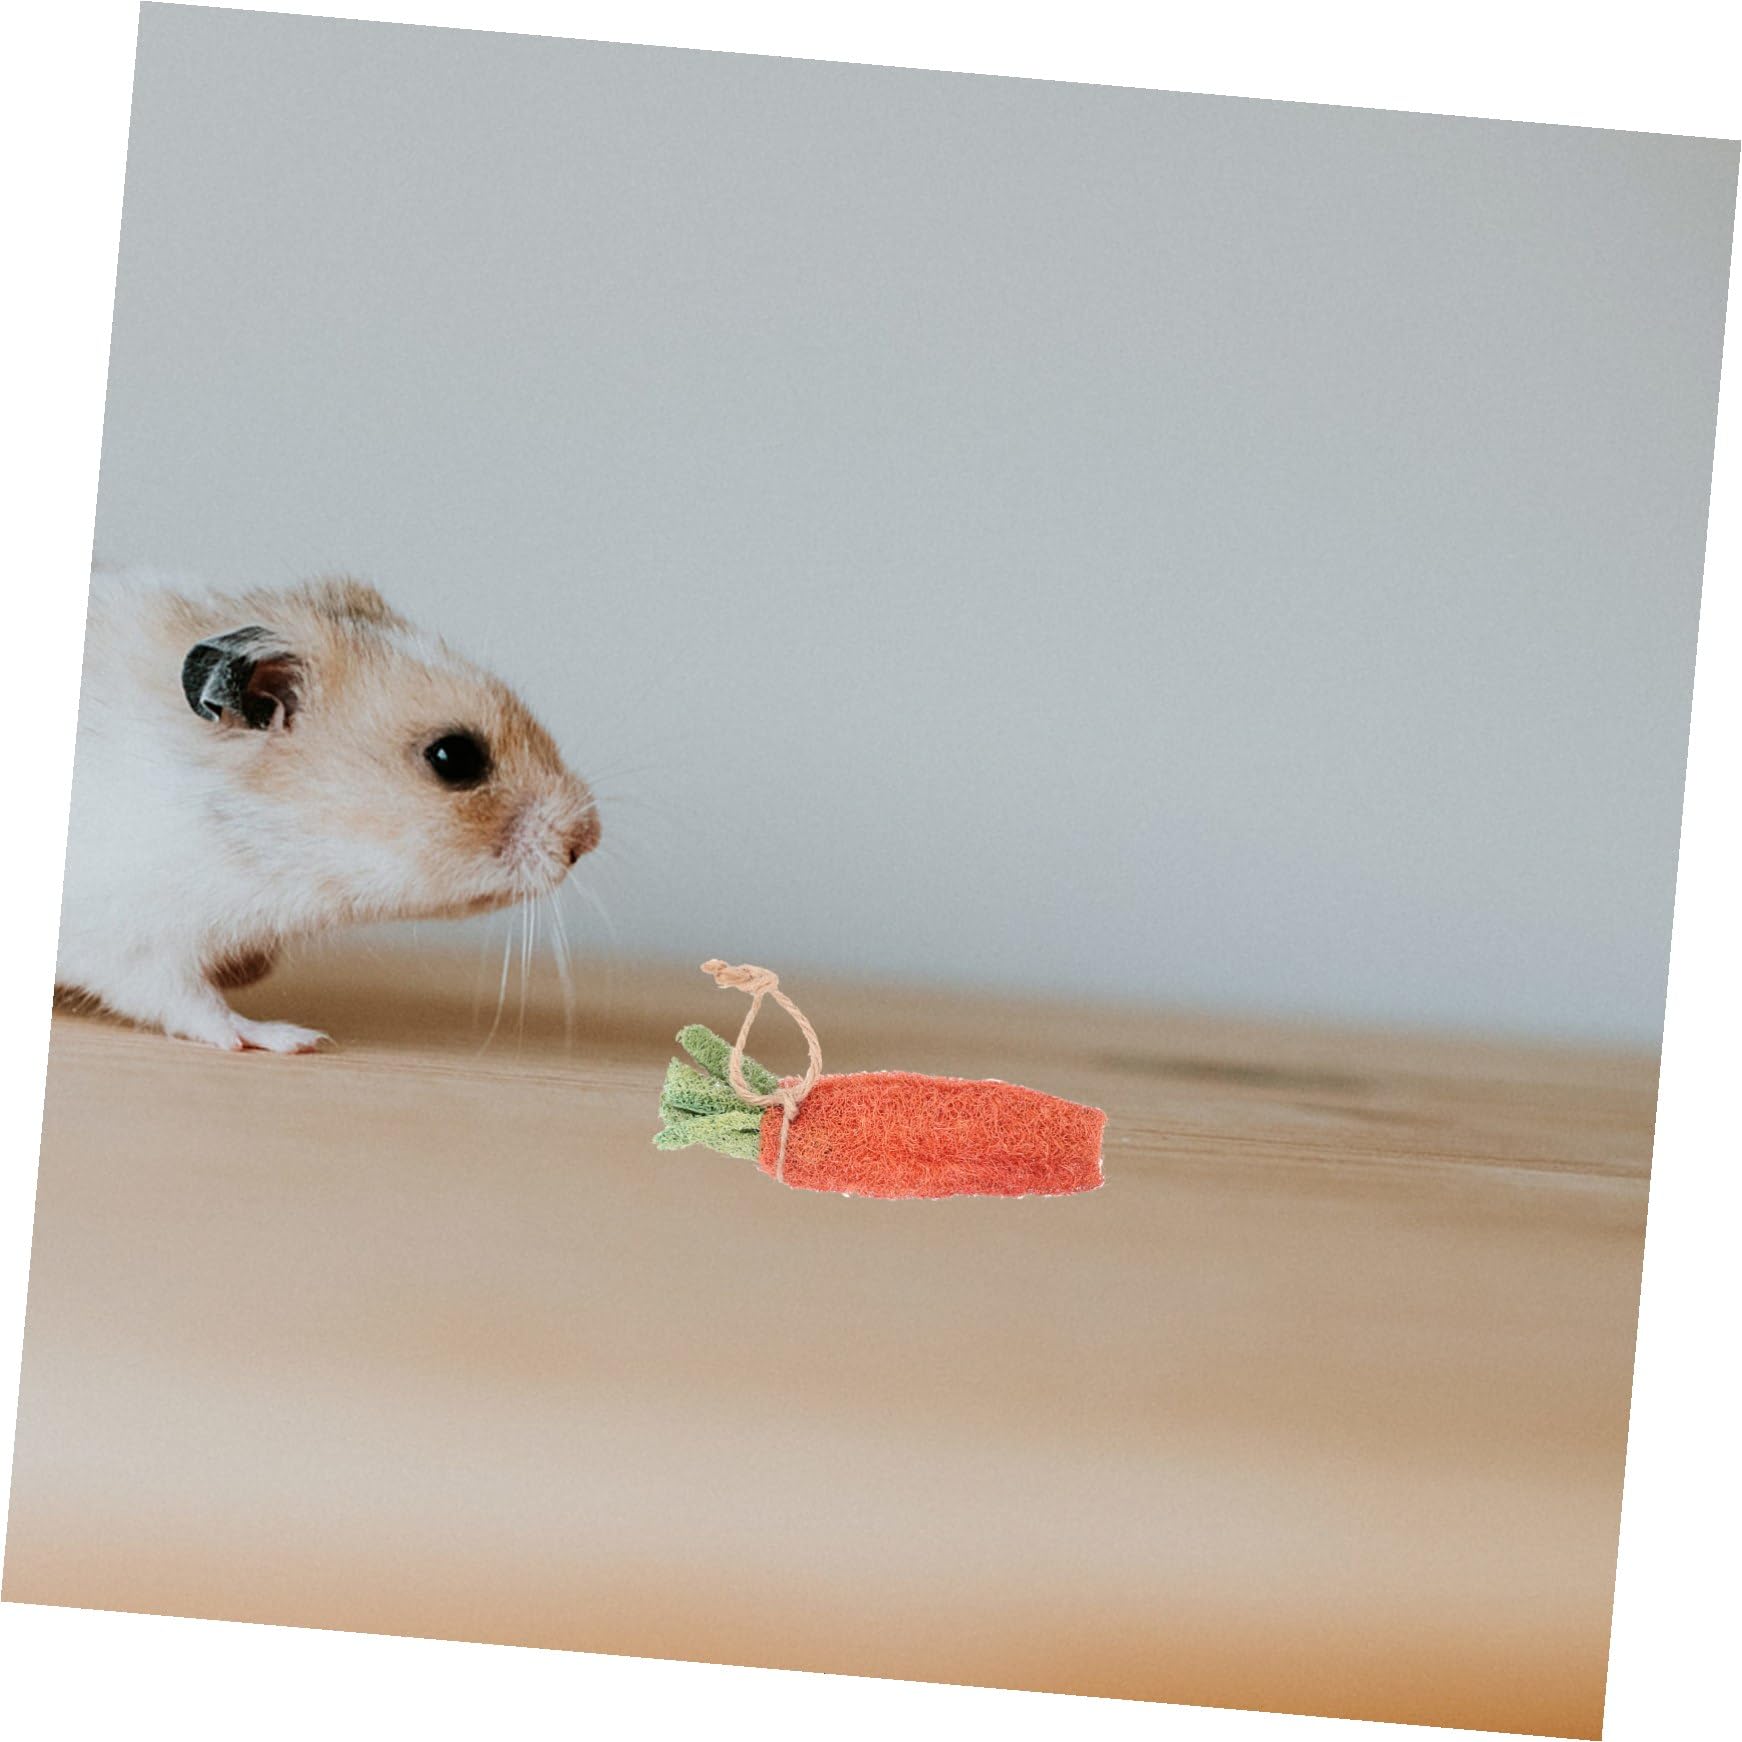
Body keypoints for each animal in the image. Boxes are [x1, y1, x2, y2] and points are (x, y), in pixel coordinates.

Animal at [55, 565, 600, 1052]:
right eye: (453, 756)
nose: (588, 837)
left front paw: (250, 971)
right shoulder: (138, 939)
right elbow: (192, 1005)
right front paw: (292, 1039)